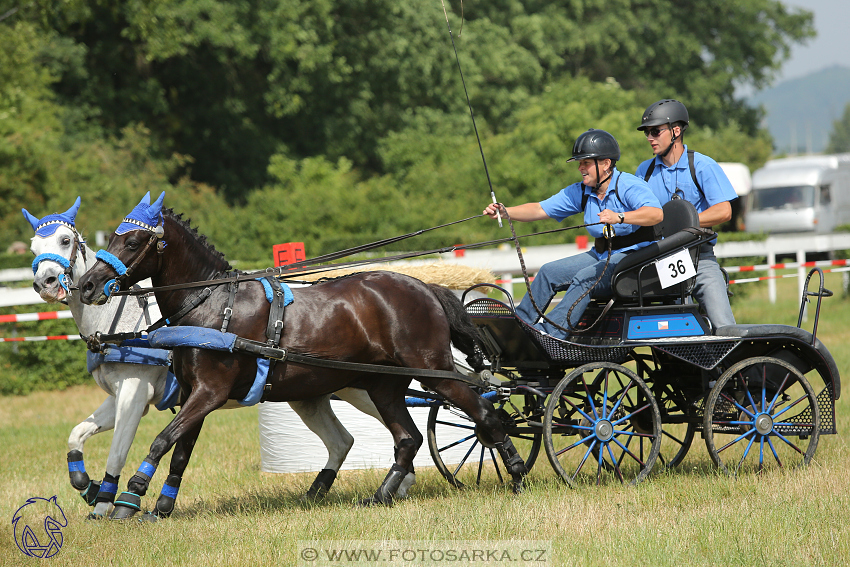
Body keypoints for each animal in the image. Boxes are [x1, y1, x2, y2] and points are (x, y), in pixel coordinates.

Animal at [78, 192, 524, 520]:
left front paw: (129, 499)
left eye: (131, 241)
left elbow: (161, 441)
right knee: (407, 438)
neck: (213, 305)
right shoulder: (193, 394)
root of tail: (425, 287)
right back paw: (381, 495)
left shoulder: (209, 393)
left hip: (434, 373)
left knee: (485, 415)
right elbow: (181, 452)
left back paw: (517, 474)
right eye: (110, 237)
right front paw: (162, 506)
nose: (87, 285)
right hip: (384, 386)